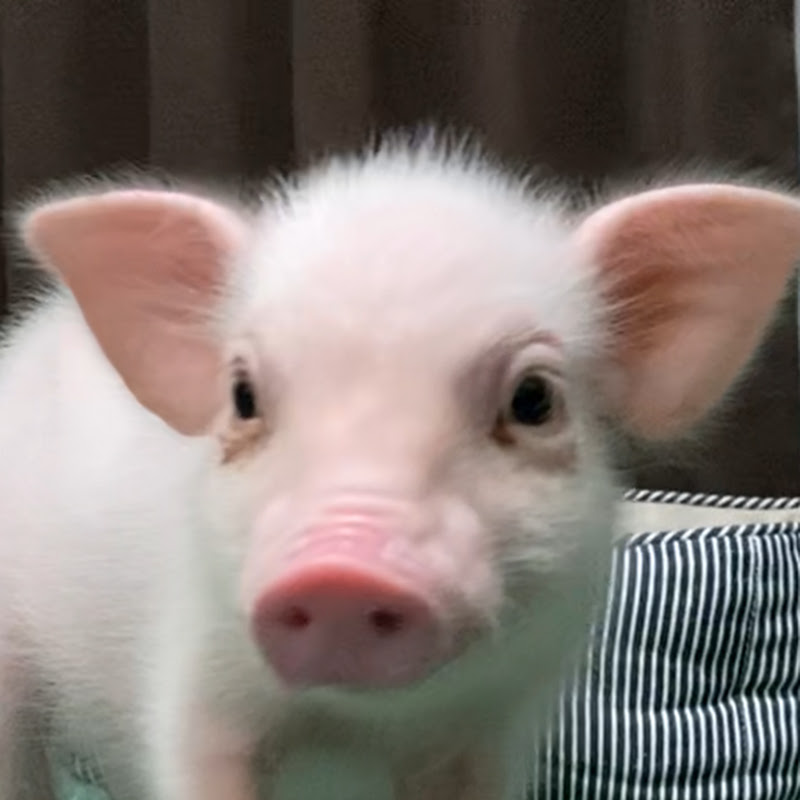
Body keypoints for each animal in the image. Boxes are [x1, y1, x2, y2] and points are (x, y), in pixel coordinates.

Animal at [0, 131, 799, 800]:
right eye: (243, 395)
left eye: (534, 399)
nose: (339, 574)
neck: (354, 729)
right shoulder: (196, 678)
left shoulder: (493, 726)